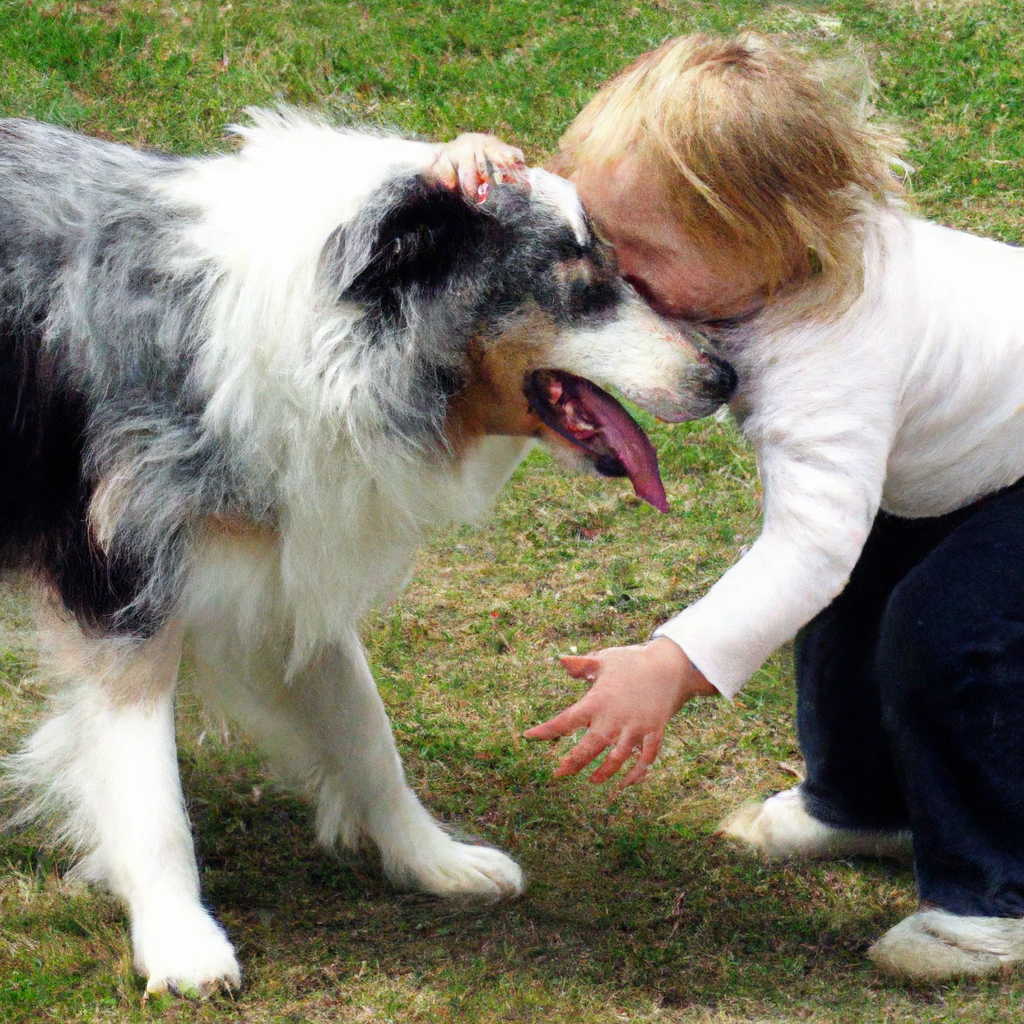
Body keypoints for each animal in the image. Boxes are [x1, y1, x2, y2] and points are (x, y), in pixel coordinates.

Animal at [0, 110, 737, 991]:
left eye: (625, 271)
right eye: (582, 283)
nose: (725, 376)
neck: (324, 342)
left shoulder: (286, 573)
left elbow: (365, 731)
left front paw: (432, 859)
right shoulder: (121, 586)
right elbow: (149, 790)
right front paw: (180, 940)